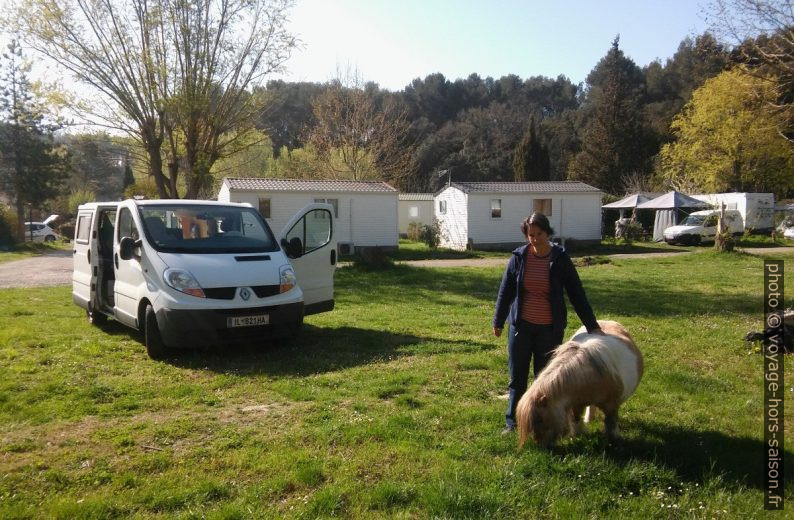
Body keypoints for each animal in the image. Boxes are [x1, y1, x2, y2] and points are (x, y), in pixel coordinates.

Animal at [516, 318, 640, 448]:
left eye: (539, 419)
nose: (542, 446)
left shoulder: (611, 405)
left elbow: (611, 422)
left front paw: (613, 439)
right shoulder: (575, 403)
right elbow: (575, 419)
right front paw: (577, 435)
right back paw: (589, 419)